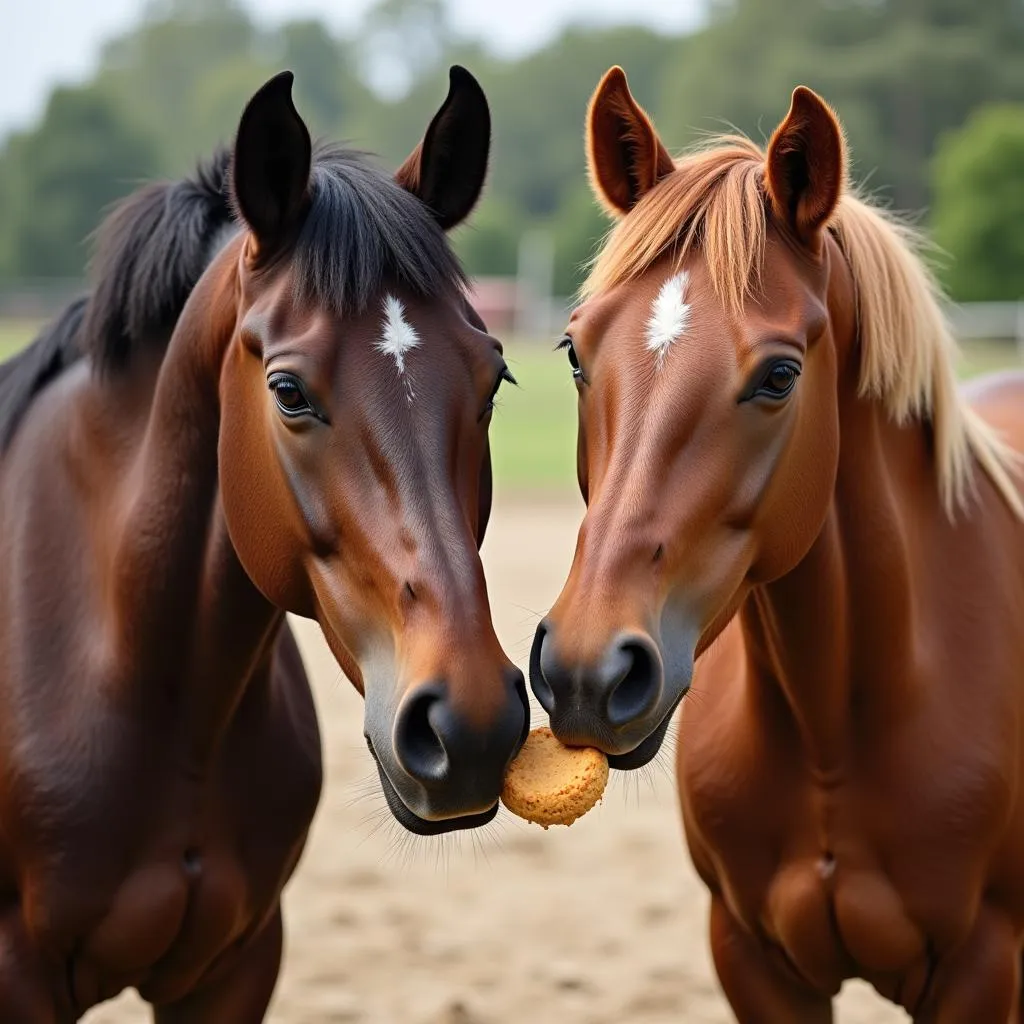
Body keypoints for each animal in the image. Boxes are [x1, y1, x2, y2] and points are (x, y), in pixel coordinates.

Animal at [532, 68, 1024, 1019]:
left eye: (779, 375)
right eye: (574, 351)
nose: (585, 672)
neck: (834, 729)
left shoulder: (985, 967)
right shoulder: (752, 958)